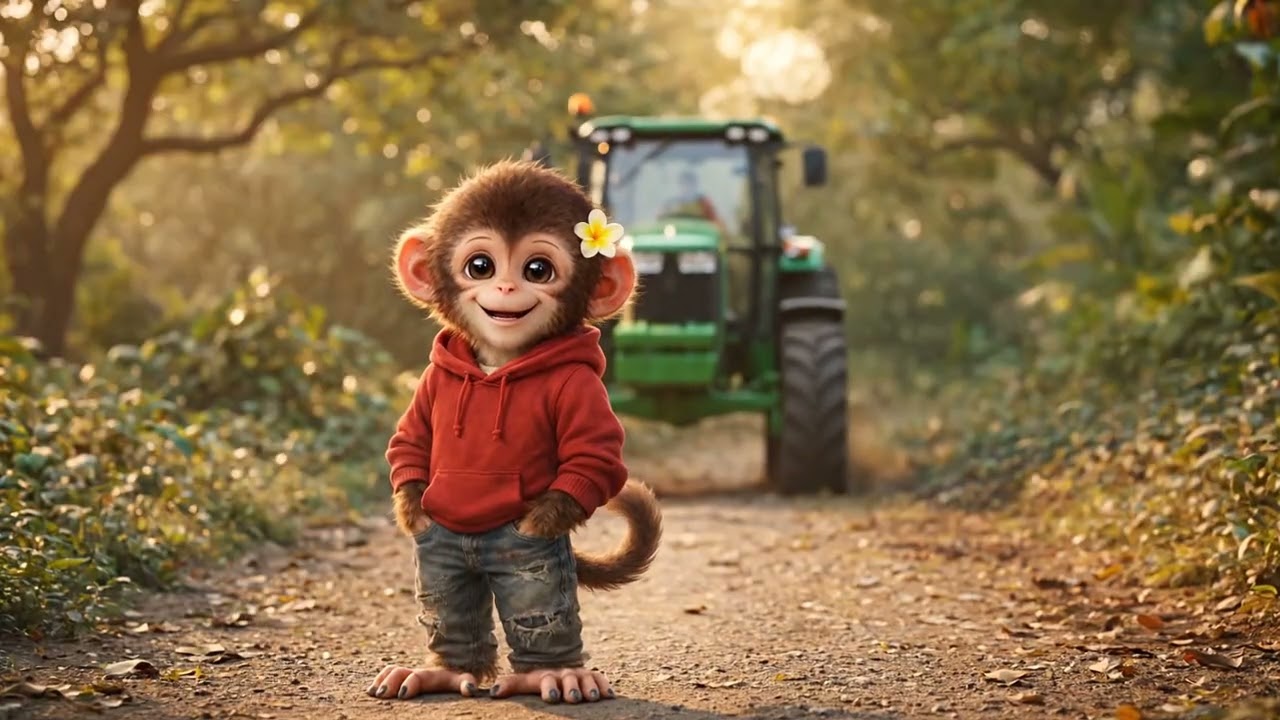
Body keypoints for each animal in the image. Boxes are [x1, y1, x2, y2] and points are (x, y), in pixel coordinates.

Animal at [367, 159, 663, 705]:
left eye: (537, 269)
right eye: (480, 266)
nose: (505, 290)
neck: (496, 365)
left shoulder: (583, 390)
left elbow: (593, 453)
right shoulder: (432, 381)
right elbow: (410, 439)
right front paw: (409, 503)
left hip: (531, 565)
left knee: (537, 610)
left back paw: (553, 674)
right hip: (441, 560)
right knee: (449, 604)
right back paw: (443, 670)